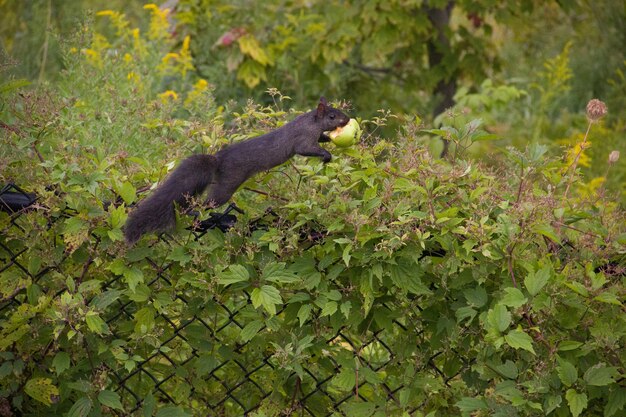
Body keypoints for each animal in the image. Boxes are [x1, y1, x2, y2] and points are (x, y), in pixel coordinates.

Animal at [123, 96, 348, 244]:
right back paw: (197, 213)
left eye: (338, 111)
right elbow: (306, 149)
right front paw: (326, 155)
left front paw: (330, 140)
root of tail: (217, 161)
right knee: (207, 203)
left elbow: (322, 139)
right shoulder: (303, 139)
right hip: (226, 187)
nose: (346, 120)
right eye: (332, 115)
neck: (311, 122)